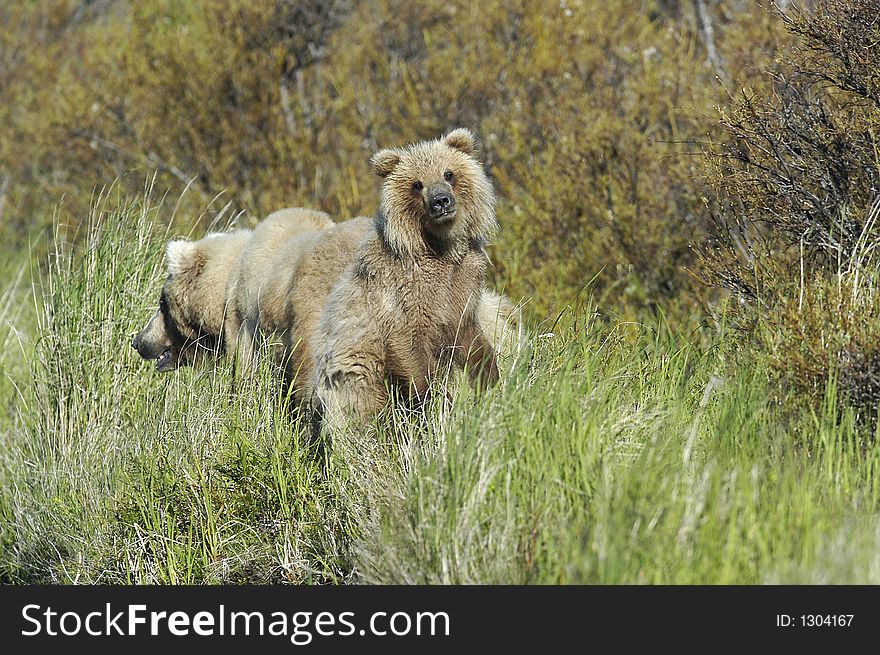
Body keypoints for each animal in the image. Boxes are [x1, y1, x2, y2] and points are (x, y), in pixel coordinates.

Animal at [310, 128, 502, 434]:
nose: (440, 201)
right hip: (357, 376)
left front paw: (491, 378)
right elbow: (409, 347)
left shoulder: (463, 282)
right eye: (417, 184)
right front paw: (435, 400)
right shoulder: (404, 292)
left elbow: (470, 338)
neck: (440, 249)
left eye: (448, 173)